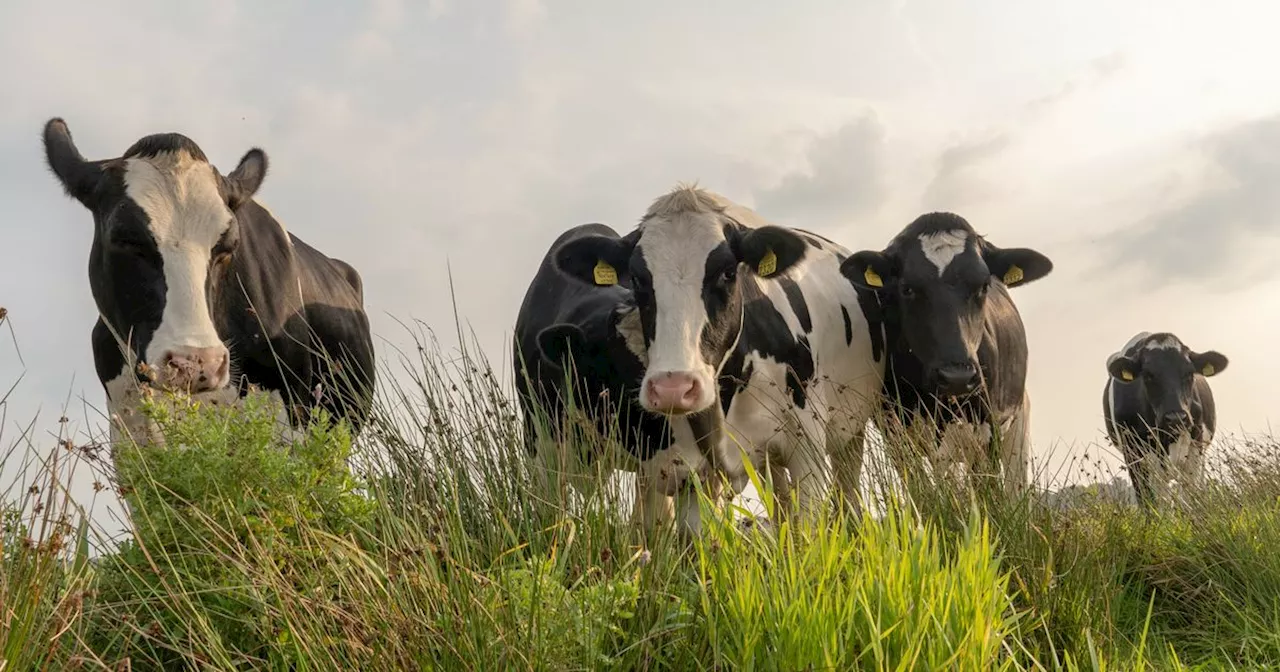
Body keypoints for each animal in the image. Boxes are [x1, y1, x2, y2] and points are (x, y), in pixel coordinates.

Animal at [550, 184, 890, 529]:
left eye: (728, 272)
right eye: (636, 278)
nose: (673, 389)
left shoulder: (808, 445)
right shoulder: (692, 468)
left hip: (849, 430)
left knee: (846, 492)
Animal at [839, 212, 1049, 494]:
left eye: (983, 286)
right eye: (907, 288)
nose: (957, 377)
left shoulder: (988, 430)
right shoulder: (895, 433)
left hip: (1016, 424)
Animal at [1100, 330, 1228, 509]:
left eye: (1190, 373)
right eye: (1148, 375)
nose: (1176, 418)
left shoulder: (1194, 451)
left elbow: (1190, 499)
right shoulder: (1134, 456)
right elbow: (1151, 503)